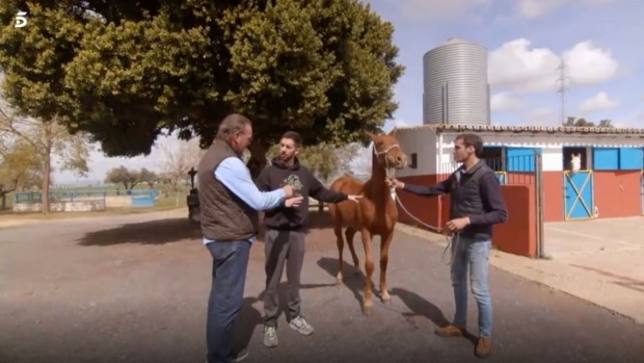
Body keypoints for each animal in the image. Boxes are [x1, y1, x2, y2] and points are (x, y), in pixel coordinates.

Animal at [330, 132, 406, 316]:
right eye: (379, 143)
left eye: (397, 142)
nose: (401, 159)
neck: (378, 200)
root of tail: (338, 181)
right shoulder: (366, 232)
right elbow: (370, 264)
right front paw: (367, 302)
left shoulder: (388, 233)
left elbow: (384, 262)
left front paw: (384, 294)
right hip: (337, 224)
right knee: (340, 244)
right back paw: (340, 277)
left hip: (353, 225)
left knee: (349, 237)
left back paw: (357, 269)